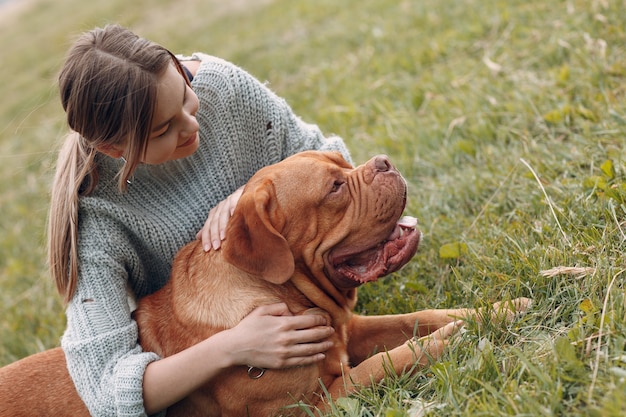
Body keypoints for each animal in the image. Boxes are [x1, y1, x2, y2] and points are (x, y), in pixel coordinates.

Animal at [0, 151, 528, 414]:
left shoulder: (348, 329)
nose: (383, 161)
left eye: (344, 164)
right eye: (335, 187)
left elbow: (418, 317)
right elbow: (388, 360)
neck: (279, 293)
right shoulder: (312, 404)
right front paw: (447, 341)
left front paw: (497, 312)